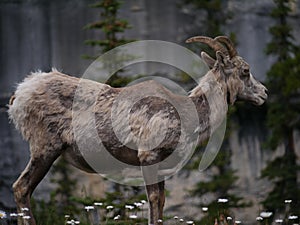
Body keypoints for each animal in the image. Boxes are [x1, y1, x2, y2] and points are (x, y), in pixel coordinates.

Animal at [7, 35, 268, 225]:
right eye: (245, 71)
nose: (264, 93)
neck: (188, 114)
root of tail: (19, 95)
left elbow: (161, 202)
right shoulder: (148, 157)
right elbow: (153, 200)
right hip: (44, 149)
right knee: (21, 188)